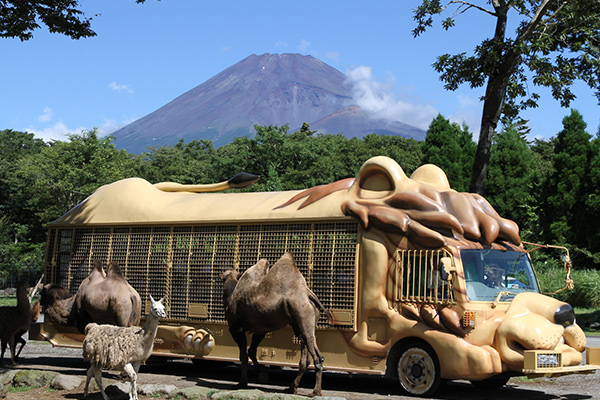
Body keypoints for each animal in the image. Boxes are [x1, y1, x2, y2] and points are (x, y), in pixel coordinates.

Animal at [221, 252, 332, 396]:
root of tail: (308, 294)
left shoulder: (236, 328)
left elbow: (244, 356)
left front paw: (242, 383)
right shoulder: (259, 330)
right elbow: (251, 351)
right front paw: (261, 374)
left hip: (302, 318)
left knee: (317, 357)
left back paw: (315, 391)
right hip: (303, 324)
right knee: (306, 357)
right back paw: (292, 388)